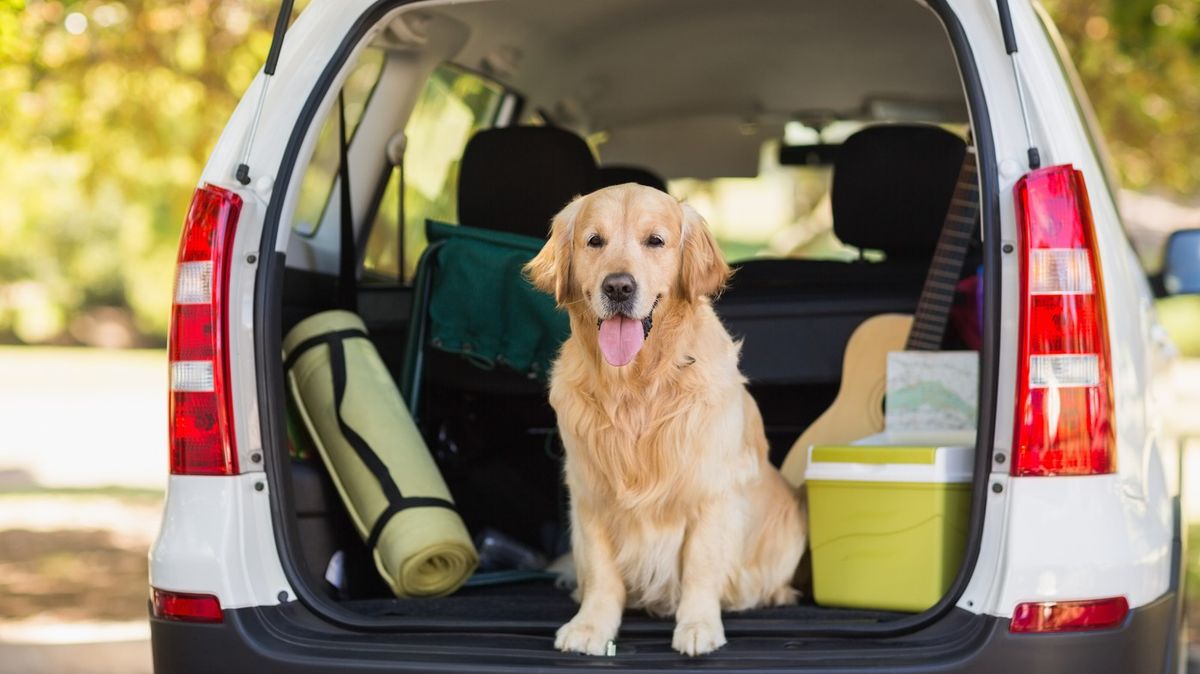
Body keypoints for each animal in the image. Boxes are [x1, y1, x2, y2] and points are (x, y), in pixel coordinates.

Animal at [525, 181, 806, 652]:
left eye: (655, 241)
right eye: (594, 241)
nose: (618, 287)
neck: (636, 387)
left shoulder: (711, 492)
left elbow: (701, 566)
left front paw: (698, 626)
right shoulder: (589, 492)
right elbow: (601, 572)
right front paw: (591, 626)